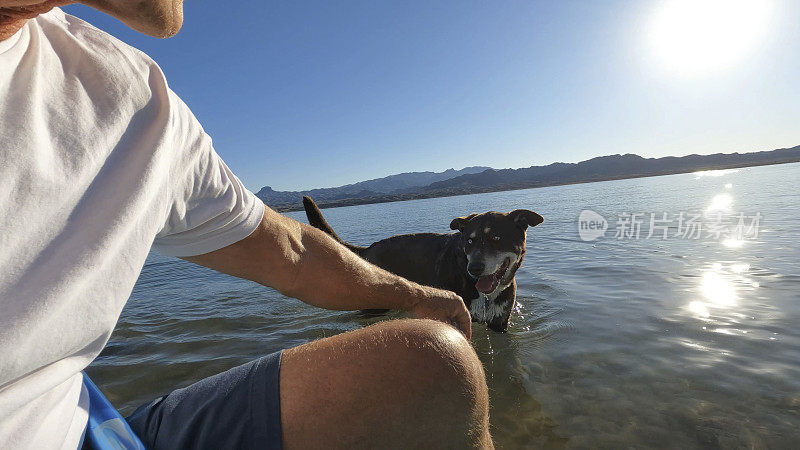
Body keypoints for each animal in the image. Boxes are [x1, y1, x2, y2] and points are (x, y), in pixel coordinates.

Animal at [302, 196, 544, 330]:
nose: (474, 268)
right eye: (469, 240)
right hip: (374, 304)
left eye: (496, 238)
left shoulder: (500, 324)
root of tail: (369, 249)